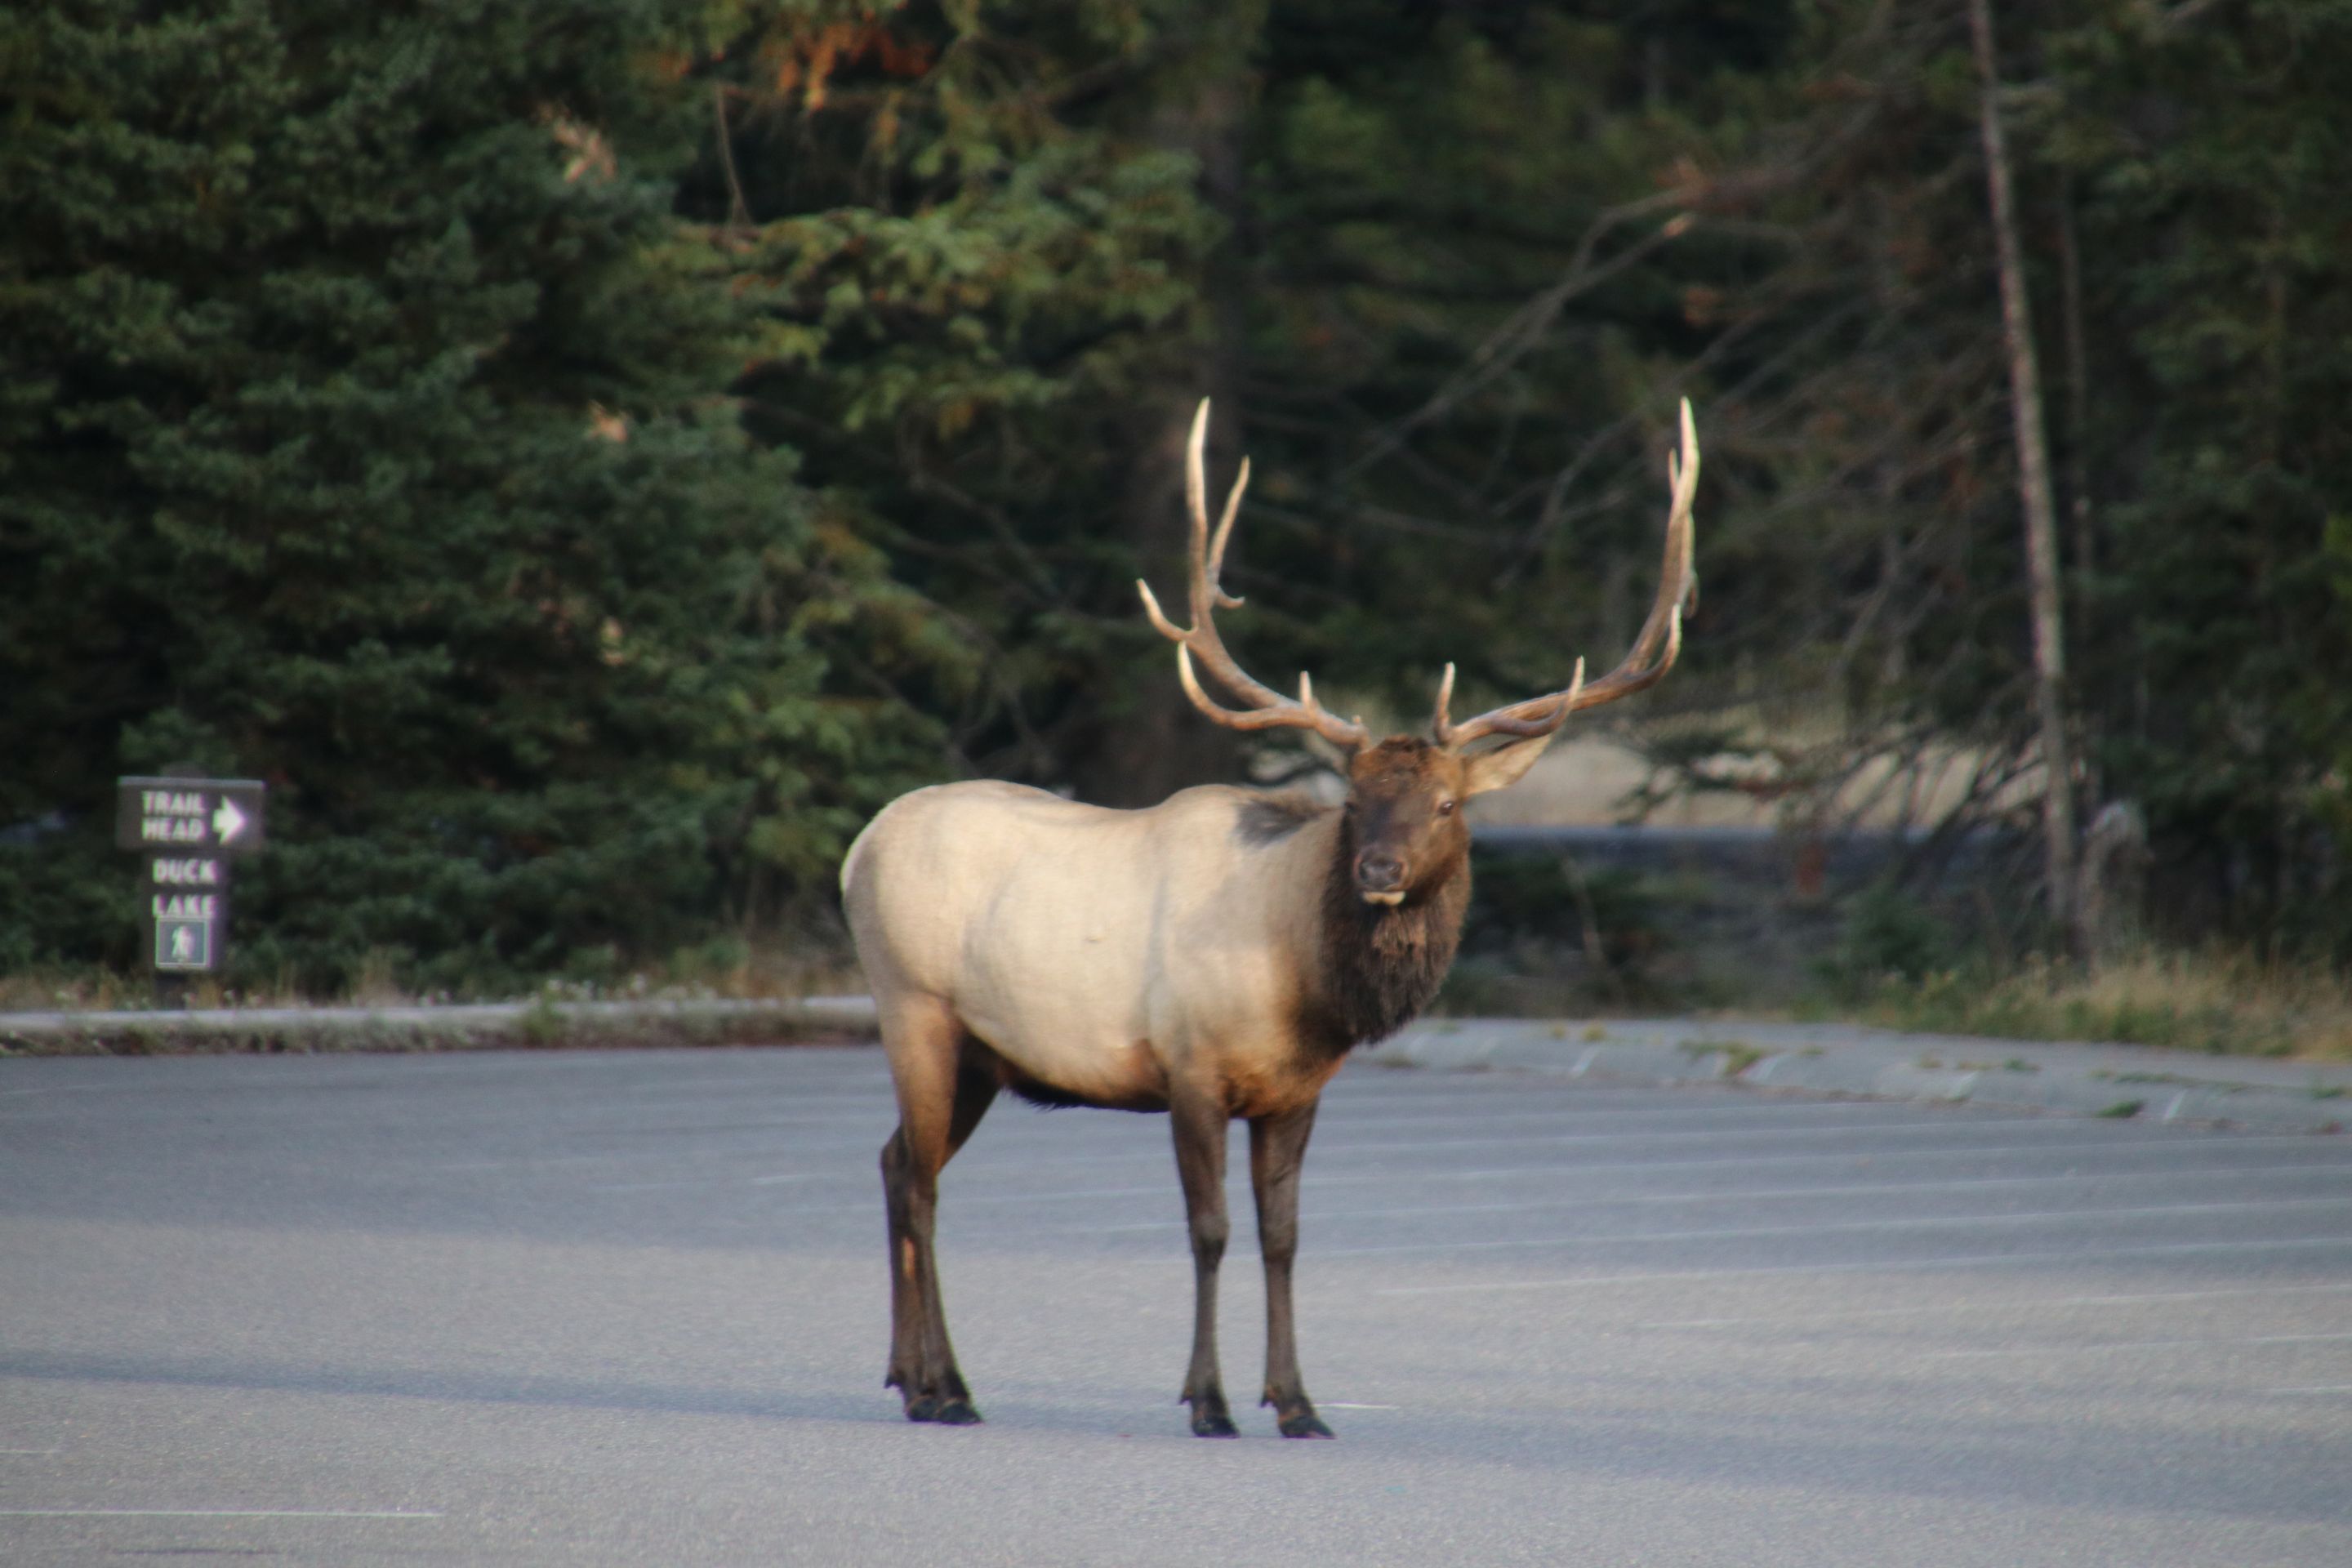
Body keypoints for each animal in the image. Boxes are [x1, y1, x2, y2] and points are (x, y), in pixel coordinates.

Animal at [837, 399, 1703, 1438]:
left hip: (980, 1054)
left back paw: (910, 1376)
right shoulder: (1189, 1067)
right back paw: (945, 1389)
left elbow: (1283, 1237)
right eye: (1353, 797)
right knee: (923, 1182)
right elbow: (1210, 1233)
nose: (1379, 869)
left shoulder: (1296, 1093)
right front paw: (1208, 1400)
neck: (1303, 987)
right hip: (914, 1007)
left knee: (893, 1163)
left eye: (1447, 805)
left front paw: (1296, 1403)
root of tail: (857, 849)